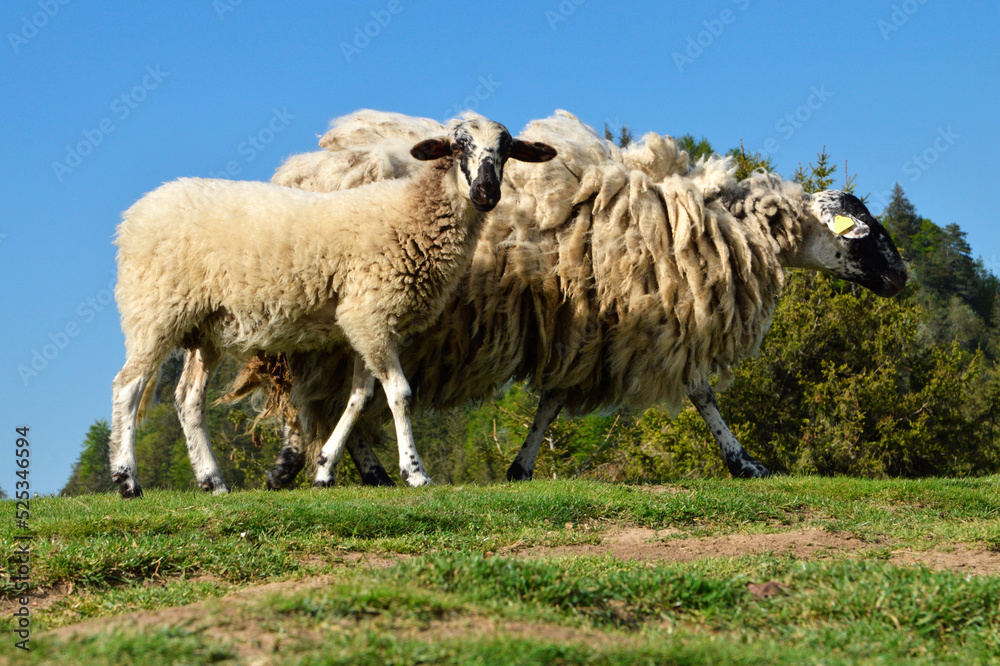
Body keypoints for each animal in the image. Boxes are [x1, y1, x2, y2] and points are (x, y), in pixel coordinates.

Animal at [108, 115, 557, 498]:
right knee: (127, 387)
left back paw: (212, 481)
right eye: (458, 146)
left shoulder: (365, 325)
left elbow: (358, 397)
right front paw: (414, 472)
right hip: (155, 308)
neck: (413, 214)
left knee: (188, 400)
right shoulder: (371, 315)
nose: (486, 193)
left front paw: (324, 469)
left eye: (506, 149)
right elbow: (399, 394)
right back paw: (128, 480)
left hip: (205, 326)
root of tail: (134, 215)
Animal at [222, 110, 907, 488]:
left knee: (341, 392)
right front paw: (745, 462)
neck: (712, 219)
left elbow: (551, 402)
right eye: (867, 231)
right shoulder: (648, 317)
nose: (901, 279)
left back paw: (362, 469)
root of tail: (301, 171)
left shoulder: (587, 329)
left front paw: (521, 465)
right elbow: (701, 392)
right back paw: (296, 465)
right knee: (305, 392)